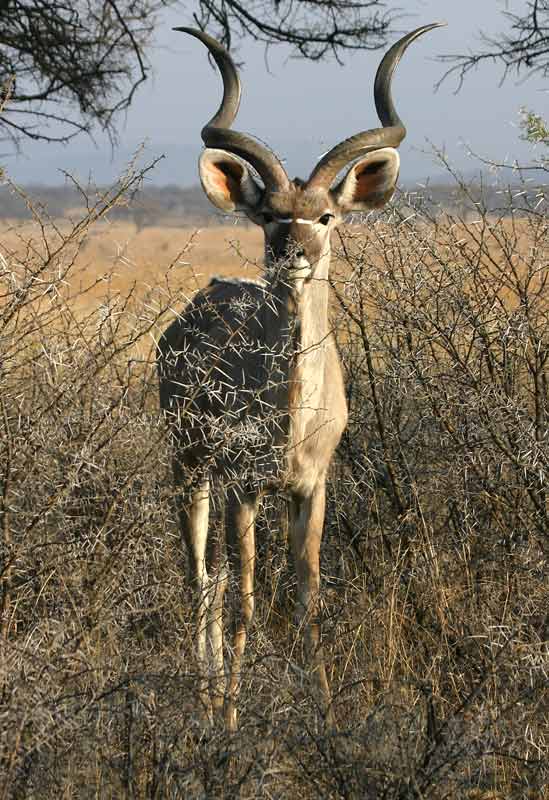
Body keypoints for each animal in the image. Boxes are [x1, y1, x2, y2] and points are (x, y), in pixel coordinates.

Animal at [157, 21, 440, 728]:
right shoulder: (246, 485)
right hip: (190, 468)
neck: (294, 415)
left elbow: (304, 593)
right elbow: (248, 596)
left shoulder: (311, 487)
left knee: (214, 576)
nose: (295, 252)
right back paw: (205, 699)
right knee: (201, 576)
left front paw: (323, 712)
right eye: (270, 215)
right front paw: (233, 719)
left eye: (326, 215)